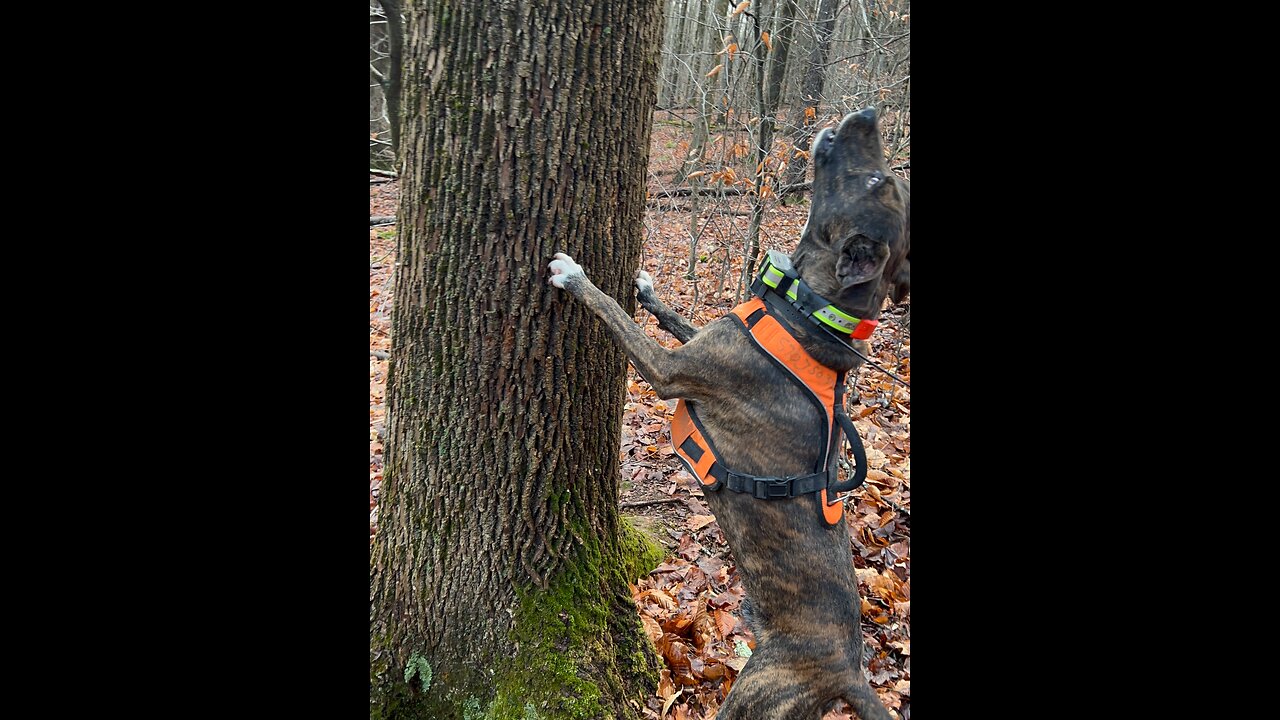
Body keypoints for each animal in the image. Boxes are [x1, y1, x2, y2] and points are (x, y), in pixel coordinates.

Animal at [545, 106, 906, 717]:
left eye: (875, 181)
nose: (868, 113)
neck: (809, 316)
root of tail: (852, 672)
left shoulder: (670, 372)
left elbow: (612, 310)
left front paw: (576, 277)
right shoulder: (701, 341)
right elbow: (672, 317)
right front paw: (648, 289)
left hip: (758, 690)